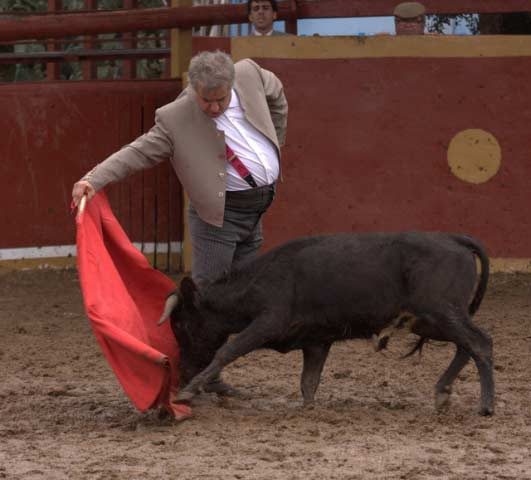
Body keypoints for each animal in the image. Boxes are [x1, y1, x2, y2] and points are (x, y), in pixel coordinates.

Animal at [158, 232, 494, 416]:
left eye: (181, 326)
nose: (183, 371)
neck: (258, 280)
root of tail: (452, 239)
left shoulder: (268, 322)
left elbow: (228, 350)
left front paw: (187, 391)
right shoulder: (316, 341)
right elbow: (309, 381)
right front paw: (307, 408)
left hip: (440, 313)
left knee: (480, 343)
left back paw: (486, 405)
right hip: (430, 322)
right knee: (466, 346)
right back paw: (443, 392)